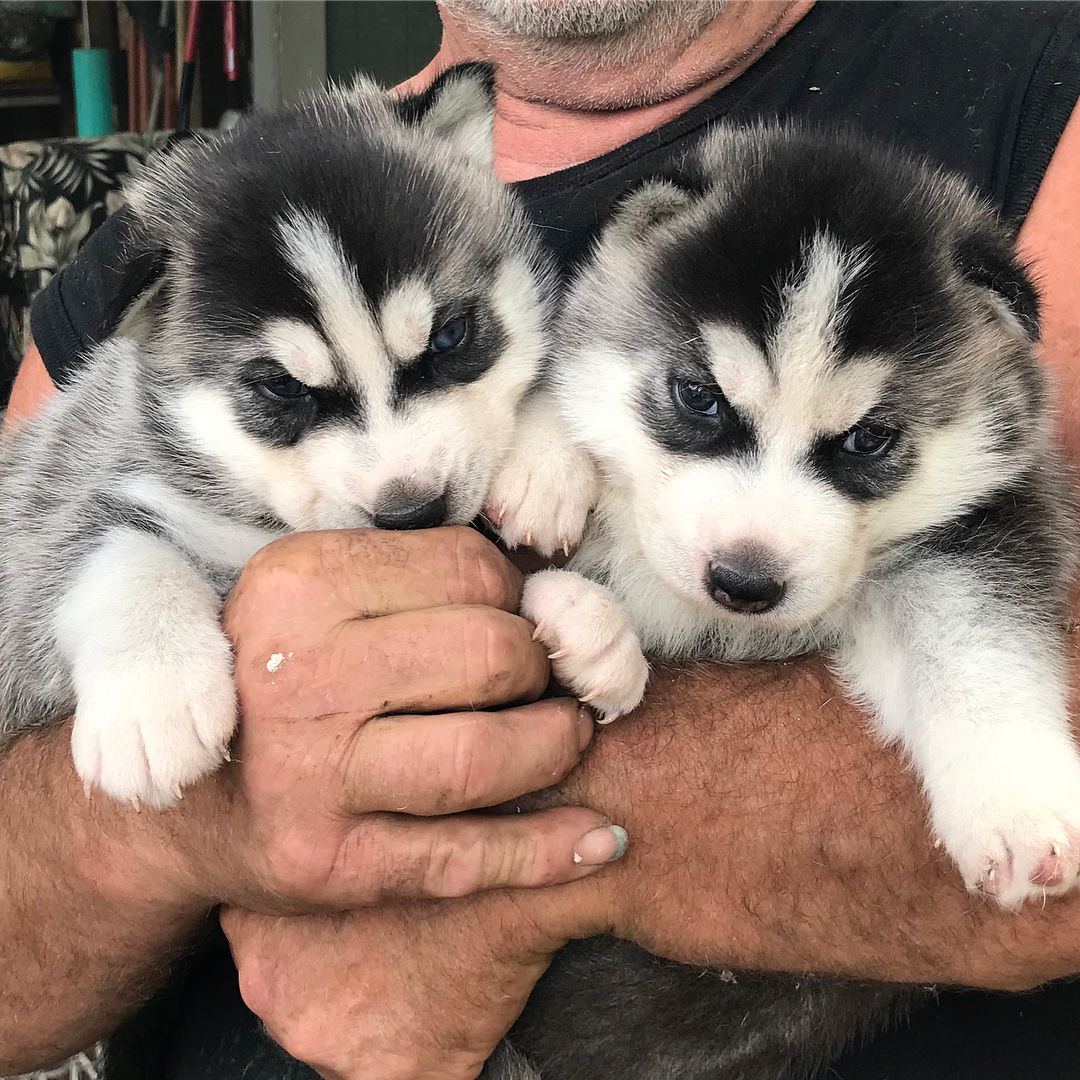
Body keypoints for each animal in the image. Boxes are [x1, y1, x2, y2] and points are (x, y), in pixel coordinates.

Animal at [492, 124, 1080, 1080]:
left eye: (868, 440)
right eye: (699, 396)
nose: (745, 581)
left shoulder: (984, 525)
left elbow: (974, 643)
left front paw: (1015, 802)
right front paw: (547, 468)